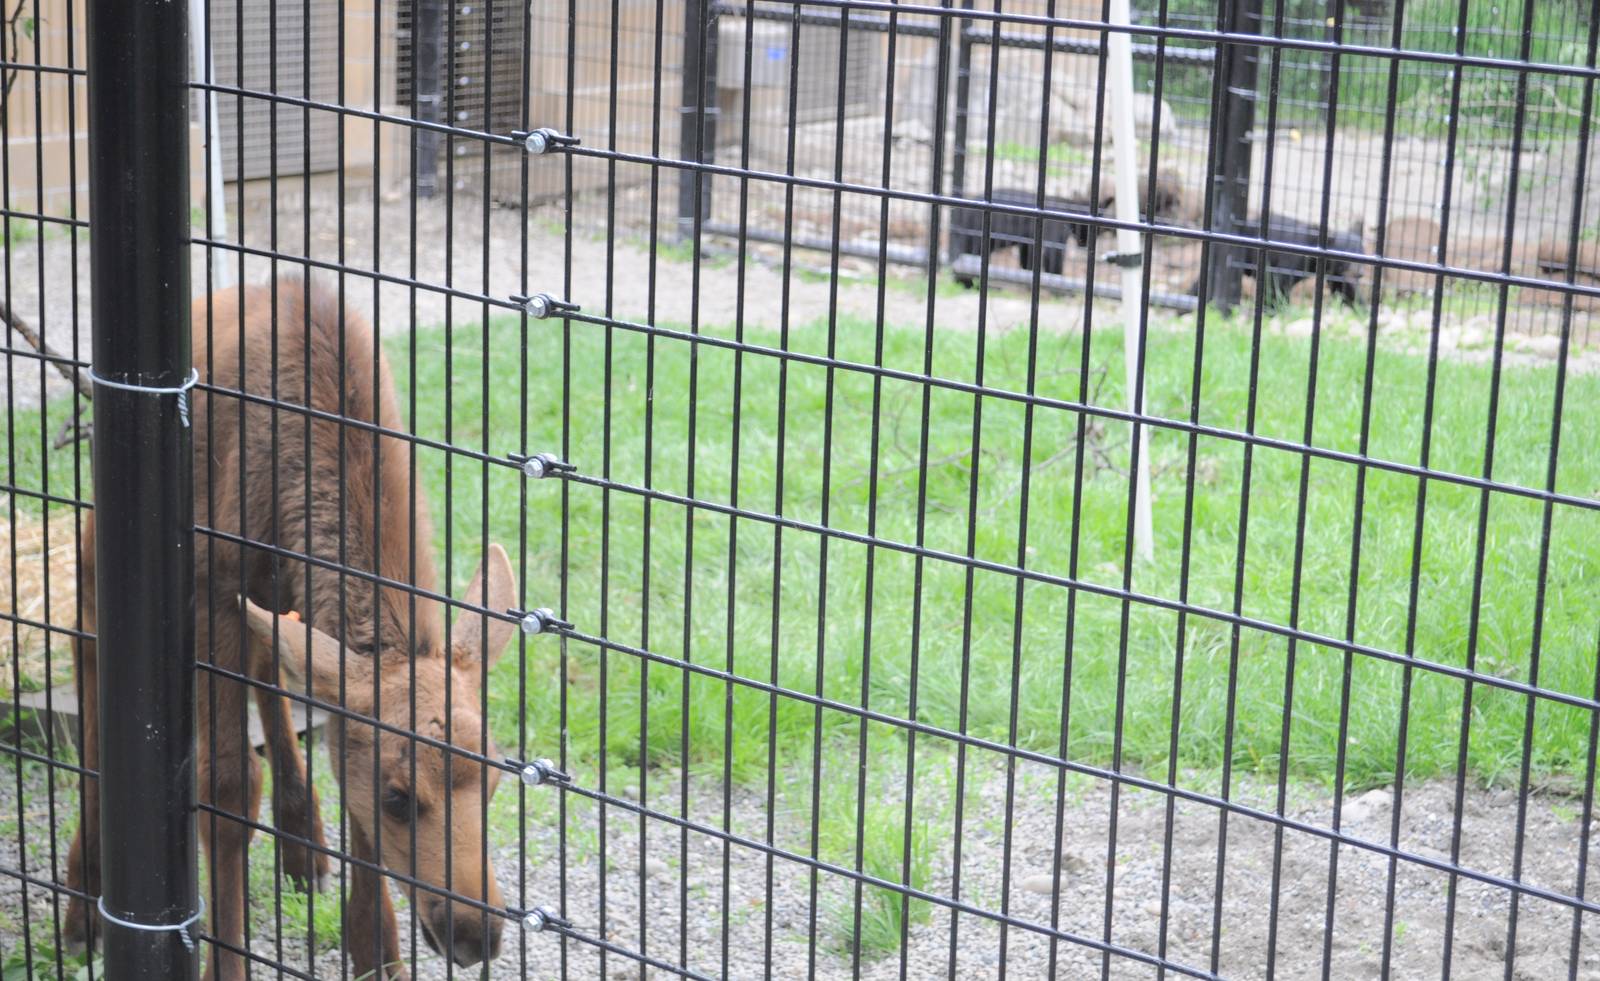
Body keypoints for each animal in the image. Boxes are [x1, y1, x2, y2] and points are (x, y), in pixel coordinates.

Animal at [63, 276, 519, 980]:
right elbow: (226, 788)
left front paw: (378, 952)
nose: (477, 934)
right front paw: (224, 965)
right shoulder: (213, 583)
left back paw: (305, 843)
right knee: (83, 642)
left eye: (496, 775)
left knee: (268, 671)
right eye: (398, 796)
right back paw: (84, 904)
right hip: (102, 553)